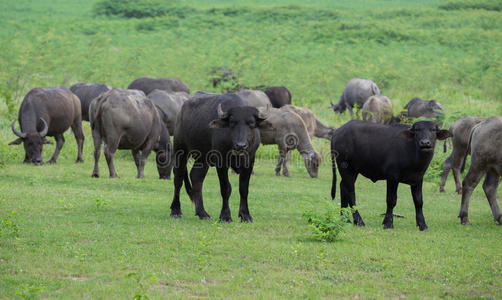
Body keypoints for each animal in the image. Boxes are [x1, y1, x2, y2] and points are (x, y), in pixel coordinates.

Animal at [169, 94, 270, 223]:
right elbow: (226, 188)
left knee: (196, 177)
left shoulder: (249, 162)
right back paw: (176, 211)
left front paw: (245, 215)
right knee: (179, 178)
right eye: (232, 122)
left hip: (203, 158)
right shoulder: (221, 162)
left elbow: (243, 189)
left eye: (251, 123)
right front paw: (225, 216)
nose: (240, 146)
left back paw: (202, 213)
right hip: (180, 149)